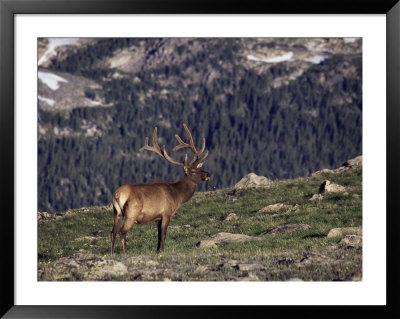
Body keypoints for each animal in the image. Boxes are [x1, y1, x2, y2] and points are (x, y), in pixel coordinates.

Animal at [109, 124, 209, 256]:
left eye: (199, 168)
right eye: (193, 171)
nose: (208, 174)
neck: (177, 196)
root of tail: (117, 194)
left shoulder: (157, 217)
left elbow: (158, 235)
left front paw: (157, 250)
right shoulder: (166, 213)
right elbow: (164, 234)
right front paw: (162, 251)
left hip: (117, 213)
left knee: (112, 232)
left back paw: (112, 253)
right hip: (131, 213)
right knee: (122, 232)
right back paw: (125, 253)